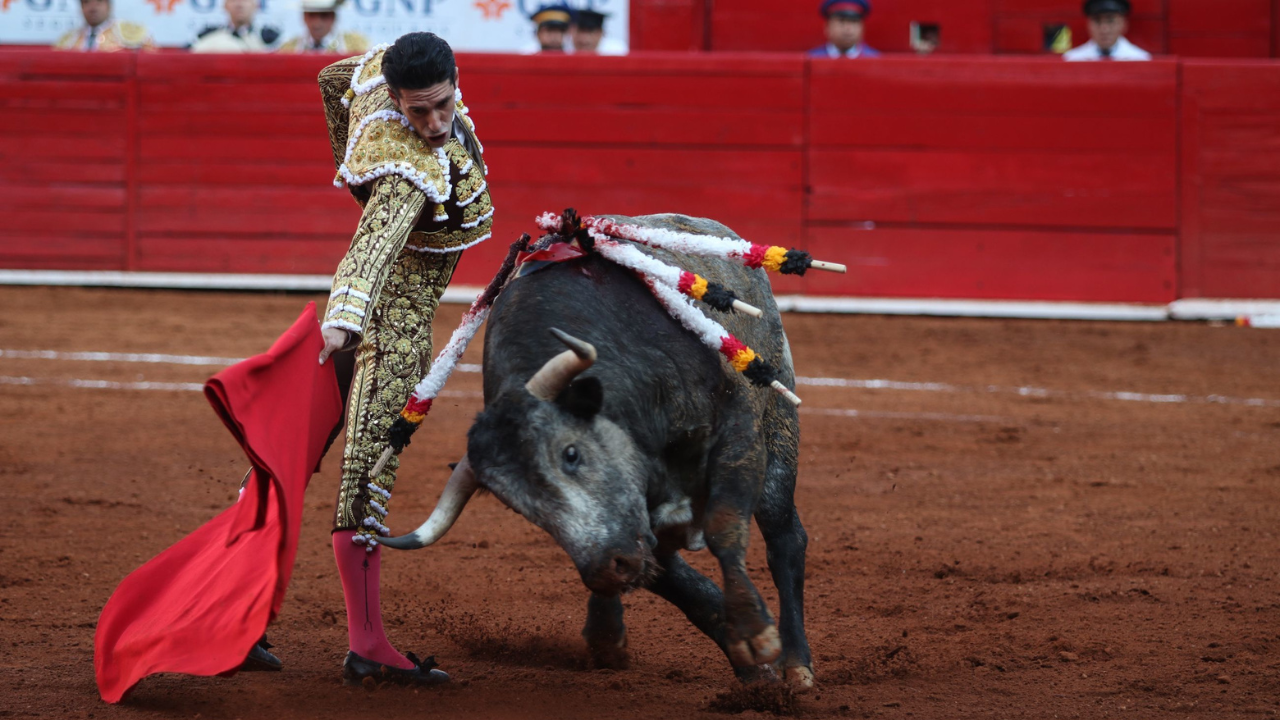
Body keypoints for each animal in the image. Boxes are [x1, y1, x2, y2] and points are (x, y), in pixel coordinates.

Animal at [384, 211, 814, 681]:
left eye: (571, 454)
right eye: (520, 507)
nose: (607, 570)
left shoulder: (738, 432)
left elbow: (724, 528)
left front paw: (755, 635)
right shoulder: (634, 528)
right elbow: (675, 580)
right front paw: (612, 636)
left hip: (779, 422)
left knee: (785, 538)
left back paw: (797, 664)